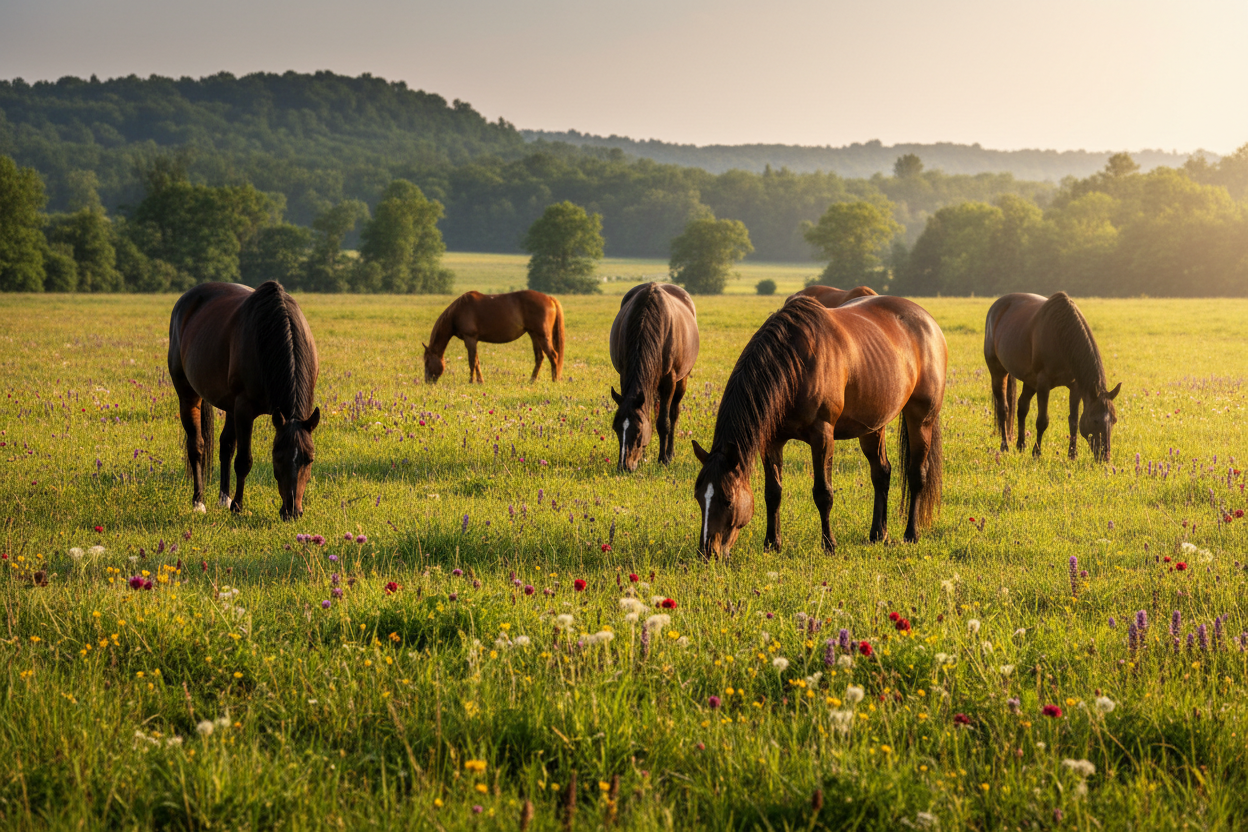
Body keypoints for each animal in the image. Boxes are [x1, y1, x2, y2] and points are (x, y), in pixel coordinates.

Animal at [168, 281, 320, 521]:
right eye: (277, 457)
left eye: (310, 459)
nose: (292, 512)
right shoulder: (244, 409)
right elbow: (244, 460)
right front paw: (238, 506)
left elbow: (232, 450)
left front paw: (231, 502)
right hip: (188, 395)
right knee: (197, 445)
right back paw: (199, 501)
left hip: (230, 406)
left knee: (226, 445)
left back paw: (223, 498)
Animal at [423, 290, 564, 383]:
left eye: (427, 361)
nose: (427, 382)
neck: (457, 312)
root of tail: (549, 298)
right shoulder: (473, 341)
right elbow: (476, 361)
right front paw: (480, 381)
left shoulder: (470, 339)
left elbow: (471, 361)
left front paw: (471, 381)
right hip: (534, 335)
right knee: (540, 357)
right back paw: (532, 380)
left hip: (542, 336)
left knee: (553, 355)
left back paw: (554, 380)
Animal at [608, 282, 699, 471]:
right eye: (616, 428)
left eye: (638, 431)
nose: (624, 466)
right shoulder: (624, 374)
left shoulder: (670, 380)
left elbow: (664, 422)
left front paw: (663, 459)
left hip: (682, 380)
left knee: (673, 414)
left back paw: (670, 453)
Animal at [692, 295, 946, 558]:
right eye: (699, 497)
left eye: (727, 500)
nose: (707, 552)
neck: (795, 365)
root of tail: (928, 321)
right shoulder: (772, 441)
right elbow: (773, 493)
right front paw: (772, 543)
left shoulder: (822, 434)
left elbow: (823, 493)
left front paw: (829, 544)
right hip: (874, 425)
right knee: (881, 473)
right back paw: (878, 534)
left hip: (921, 419)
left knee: (917, 475)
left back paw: (911, 534)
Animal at [984, 292, 1120, 462]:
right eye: (1095, 420)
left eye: (1114, 420)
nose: (1105, 458)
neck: (1062, 336)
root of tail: (997, 306)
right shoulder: (1043, 384)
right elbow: (1042, 421)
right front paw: (1036, 453)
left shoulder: (1075, 386)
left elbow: (1074, 420)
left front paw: (1072, 454)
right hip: (998, 372)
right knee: (1004, 409)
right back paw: (1005, 446)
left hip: (1030, 381)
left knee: (1022, 406)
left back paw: (1021, 445)